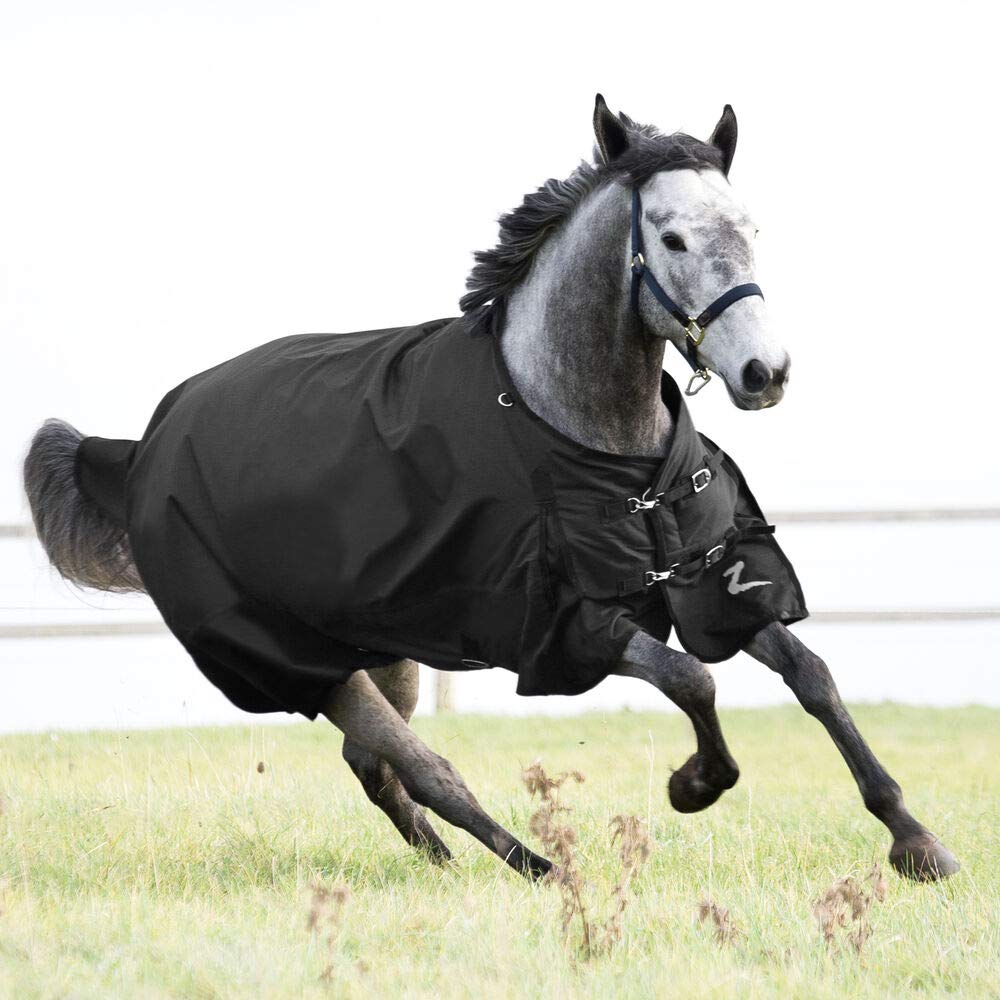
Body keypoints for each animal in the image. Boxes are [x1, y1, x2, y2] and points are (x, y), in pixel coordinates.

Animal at [23, 95, 958, 882]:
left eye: (753, 228)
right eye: (671, 239)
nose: (766, 373)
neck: (586, 436)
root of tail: (141, 447)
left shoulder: (704, 581)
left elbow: (811, 674)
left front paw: (917, 843)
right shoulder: (571, 623)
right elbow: (694, 680)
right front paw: (694, 784)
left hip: (382, 646)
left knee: (376, 767)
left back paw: (446, 865)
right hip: (308, 663)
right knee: (426, 768)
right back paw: (538, 869)